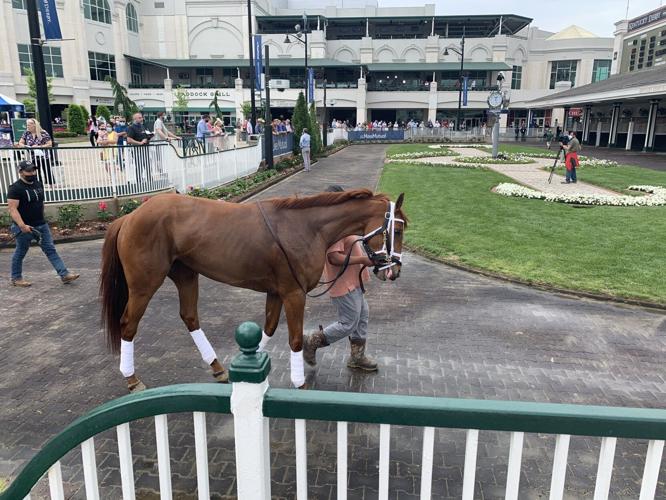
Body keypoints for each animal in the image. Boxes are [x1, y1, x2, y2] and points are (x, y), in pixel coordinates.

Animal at [100, 189, 407, 391]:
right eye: (399, 230)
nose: (394, 271)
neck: (306, 227)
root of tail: (130, 217)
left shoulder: (276, 292)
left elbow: (268, 328)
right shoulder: (294, 293)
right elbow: (295, 339)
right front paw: (300, 382)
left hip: (186, 275)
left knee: (189, 317)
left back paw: (218, 369)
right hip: (144, 284)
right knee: (128, 324)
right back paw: (132, 379)